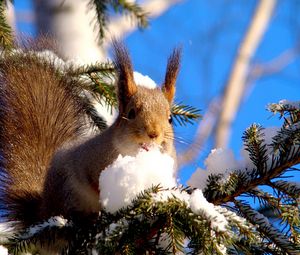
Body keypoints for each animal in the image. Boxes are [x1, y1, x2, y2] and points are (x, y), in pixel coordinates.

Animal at [0, 41, 180, 229]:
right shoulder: (89, 161)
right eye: (131, 113)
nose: (153, 133)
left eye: (170, 118)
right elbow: (94, 184)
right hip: (67, 192)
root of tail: (43, 209)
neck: (135, 155)